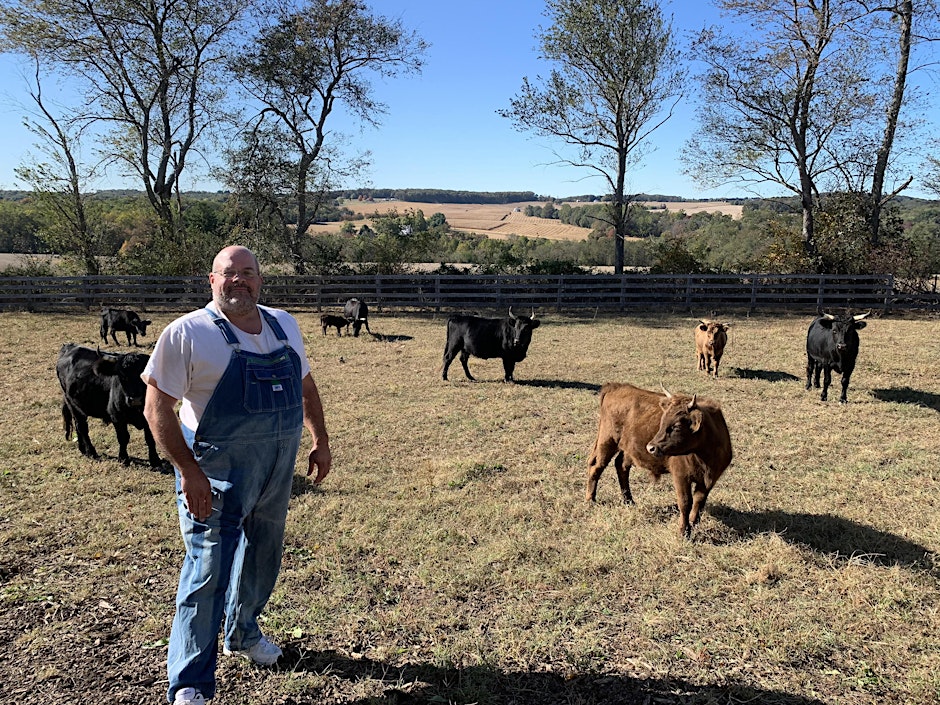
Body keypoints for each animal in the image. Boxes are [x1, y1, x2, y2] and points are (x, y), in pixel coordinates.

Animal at [586, 382, 733, 537]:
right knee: (596, 466)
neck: (705, 457)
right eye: (662, 422)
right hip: (607, 441)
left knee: (621, 466)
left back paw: (628, 500)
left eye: (677, 426)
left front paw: (693, 523)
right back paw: (591, 499)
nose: (651, 447)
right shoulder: (680, 476)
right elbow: (685, 502)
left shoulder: (709, 480)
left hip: (626, 449)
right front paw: (684, 531)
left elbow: (699, 501)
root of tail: (615, 387)